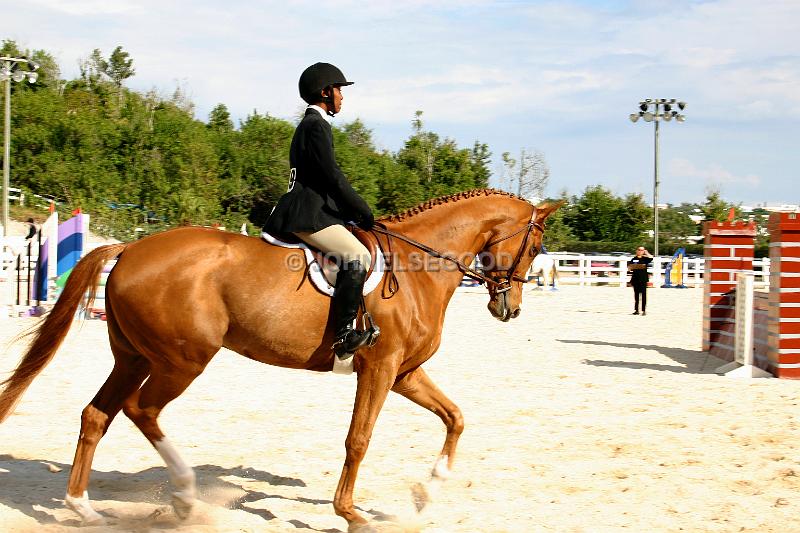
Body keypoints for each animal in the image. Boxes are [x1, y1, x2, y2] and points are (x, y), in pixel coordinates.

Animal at [0, 189, 556, 528]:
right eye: (535, 247)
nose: (510, 308)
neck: (418, 267)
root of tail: (131, 248)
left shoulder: (405, 373)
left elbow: (455, 416)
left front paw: (427, 492)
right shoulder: (379, 369)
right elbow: (358, 440)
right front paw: (350, 513)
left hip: (134, 356)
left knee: (98, 414)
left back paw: (84, 509)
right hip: (183, 361)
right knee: (142, 410)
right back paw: (184, 496)